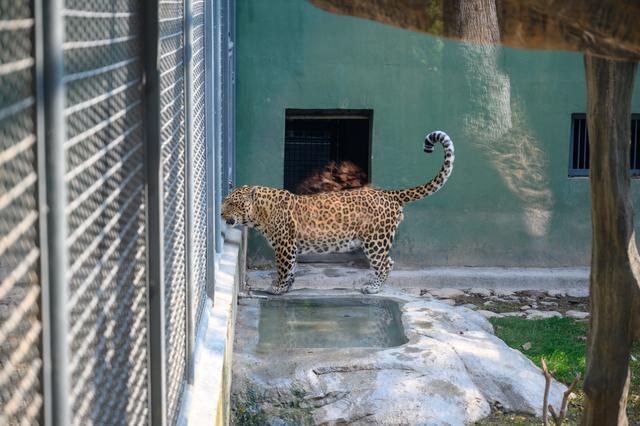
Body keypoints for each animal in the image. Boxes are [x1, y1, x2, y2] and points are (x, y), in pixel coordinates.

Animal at [222, 131, 452, 294]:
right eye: (224, 202)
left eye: (233, 204)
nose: (221, 216)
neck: (260, 213)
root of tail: (387, 193)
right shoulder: (291, 246)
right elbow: (292, 268)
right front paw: (286, 287)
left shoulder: (284, 245)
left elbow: (284, 268)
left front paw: (277, 288)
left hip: (375, 240)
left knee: (386, 263)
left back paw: (373, 287)